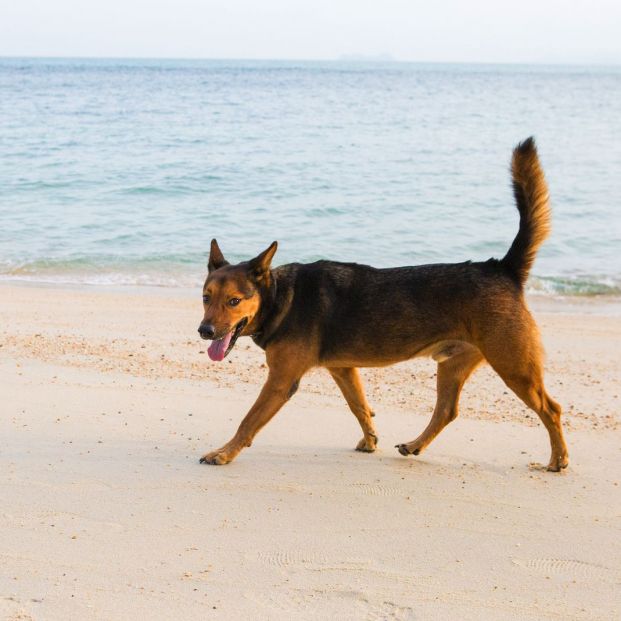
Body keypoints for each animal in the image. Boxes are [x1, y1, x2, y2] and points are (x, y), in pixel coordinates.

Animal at [197, 137, 568, 470]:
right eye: (205, 297)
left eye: (234, 301)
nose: (205, 331)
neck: (279, 297)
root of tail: (502, 267)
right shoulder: (343, 368)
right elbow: (359, 407)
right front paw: (370, 440)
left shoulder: (280, 381)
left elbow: (248, 421)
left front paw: (224, 453)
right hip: (454, 364)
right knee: (446, 411)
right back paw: (416, 445)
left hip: (514, 366)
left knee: (551, 409)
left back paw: (558, 459)